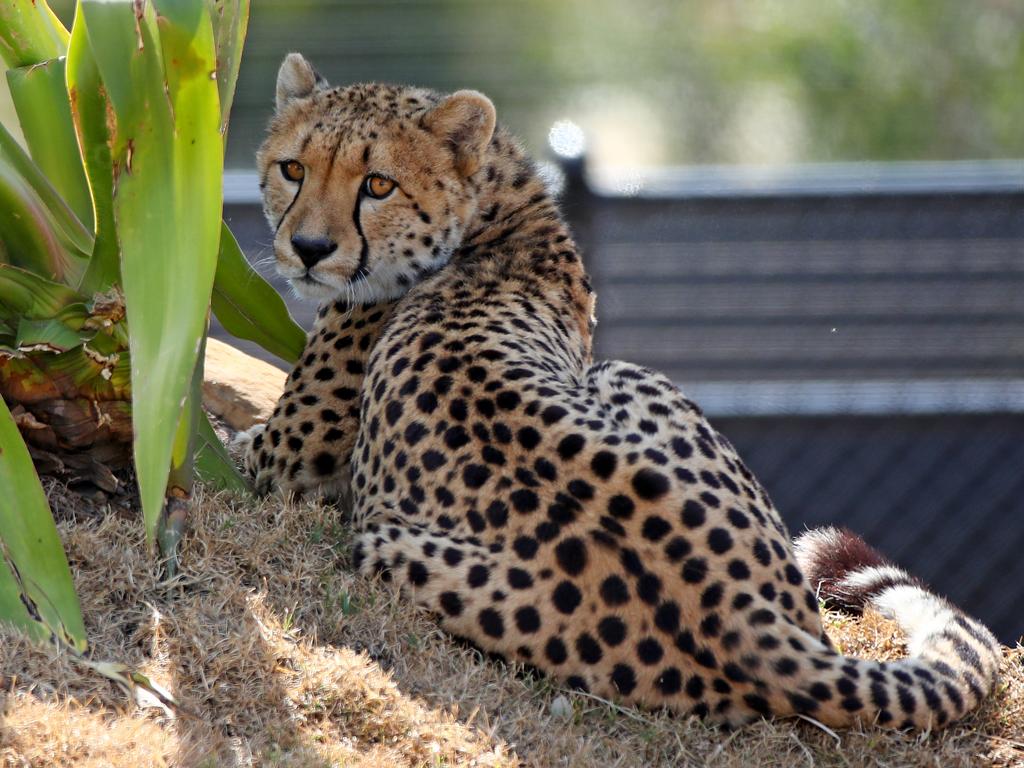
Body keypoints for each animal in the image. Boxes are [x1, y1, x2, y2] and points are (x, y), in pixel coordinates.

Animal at [243, 52, 1003, 729]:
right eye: (293, 169)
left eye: (378, 185)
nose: (308, 249)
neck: (496, 208)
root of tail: (756, 630)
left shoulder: (285, 463)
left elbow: (247, 439)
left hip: (406, 531)